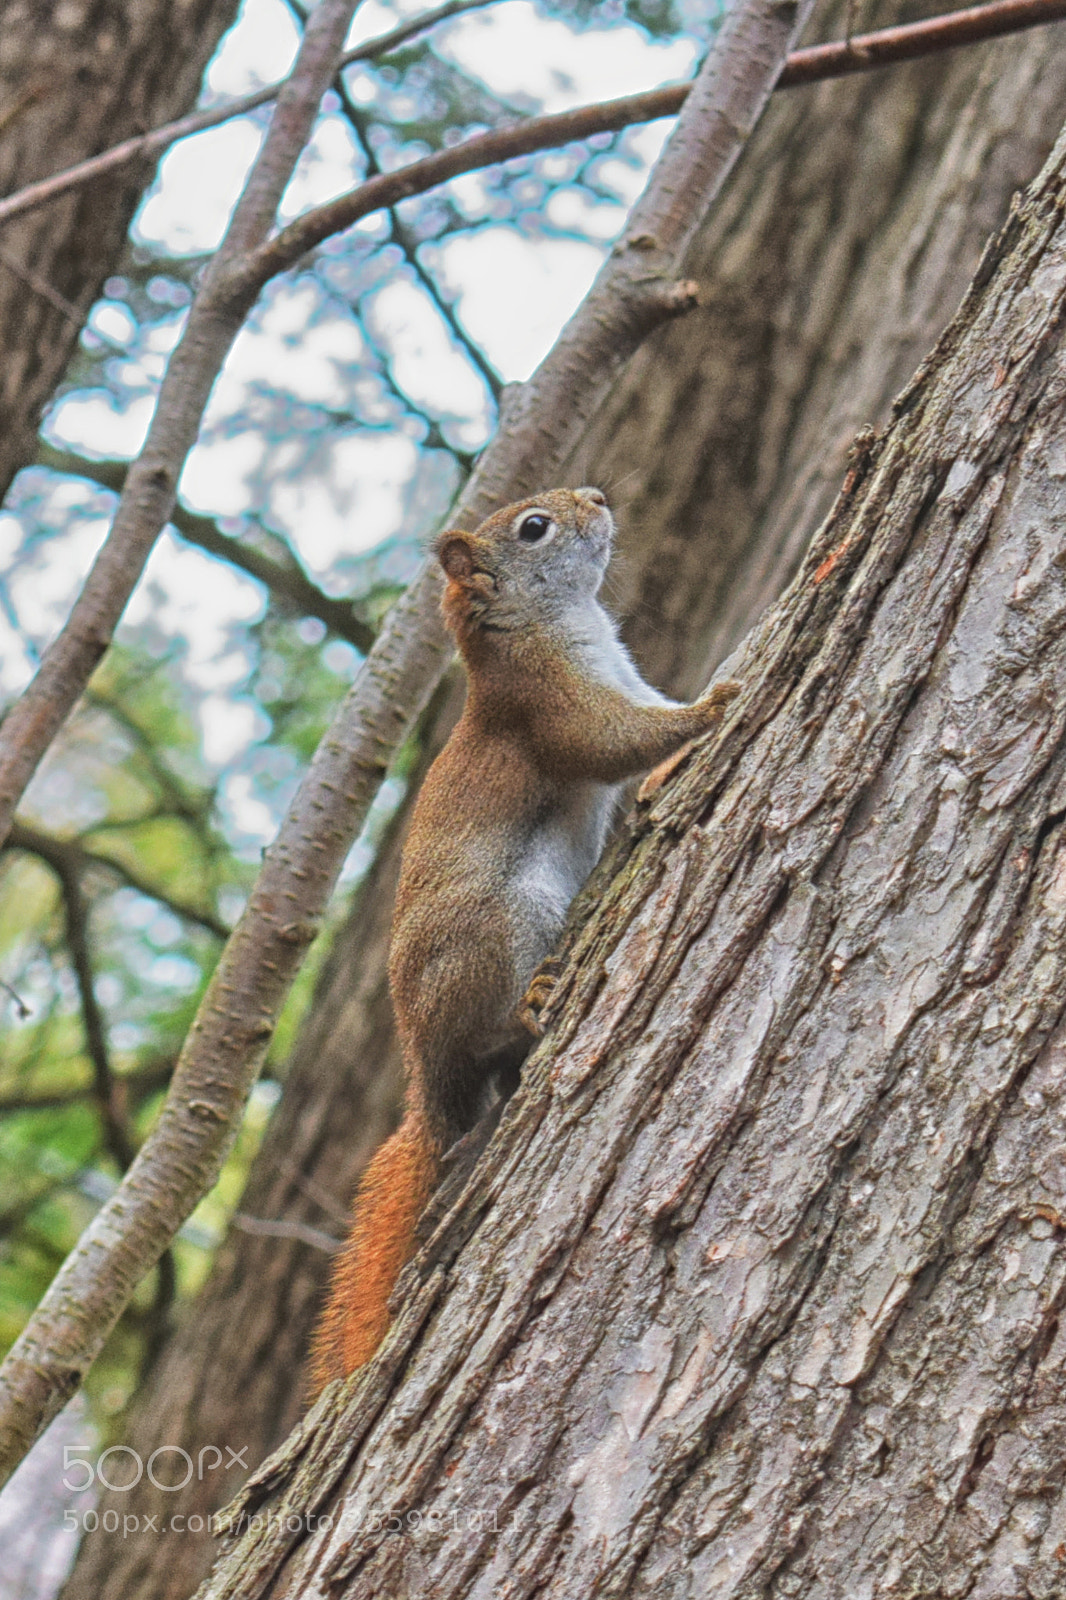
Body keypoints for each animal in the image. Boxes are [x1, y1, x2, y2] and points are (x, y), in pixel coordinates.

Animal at [309, 486, 739, 1389]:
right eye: (533, 528)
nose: (599, 496)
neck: (551, 625)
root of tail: (425, 1075)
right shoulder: (551, 703)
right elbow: (614, 743)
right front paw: (713, 707)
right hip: (499, 928)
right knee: (489, 1036)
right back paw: (530, 1005)